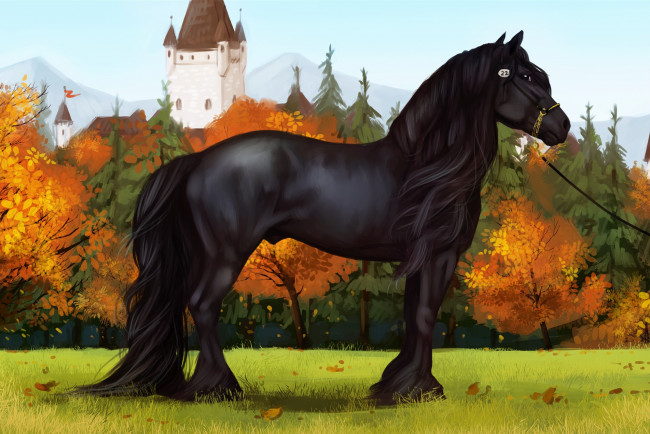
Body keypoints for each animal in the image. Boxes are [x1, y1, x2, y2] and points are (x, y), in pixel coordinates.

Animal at [70, 31, 570, 405]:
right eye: (526, 75)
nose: (561, 127)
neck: (426, 167)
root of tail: (197, 161)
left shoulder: (421, 258)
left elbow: (415, 315)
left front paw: (397, 384)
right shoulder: (438, 255)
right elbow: (427, 315)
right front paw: (418, 390)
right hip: (226, 252)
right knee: (204, 306)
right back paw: (220, 388)